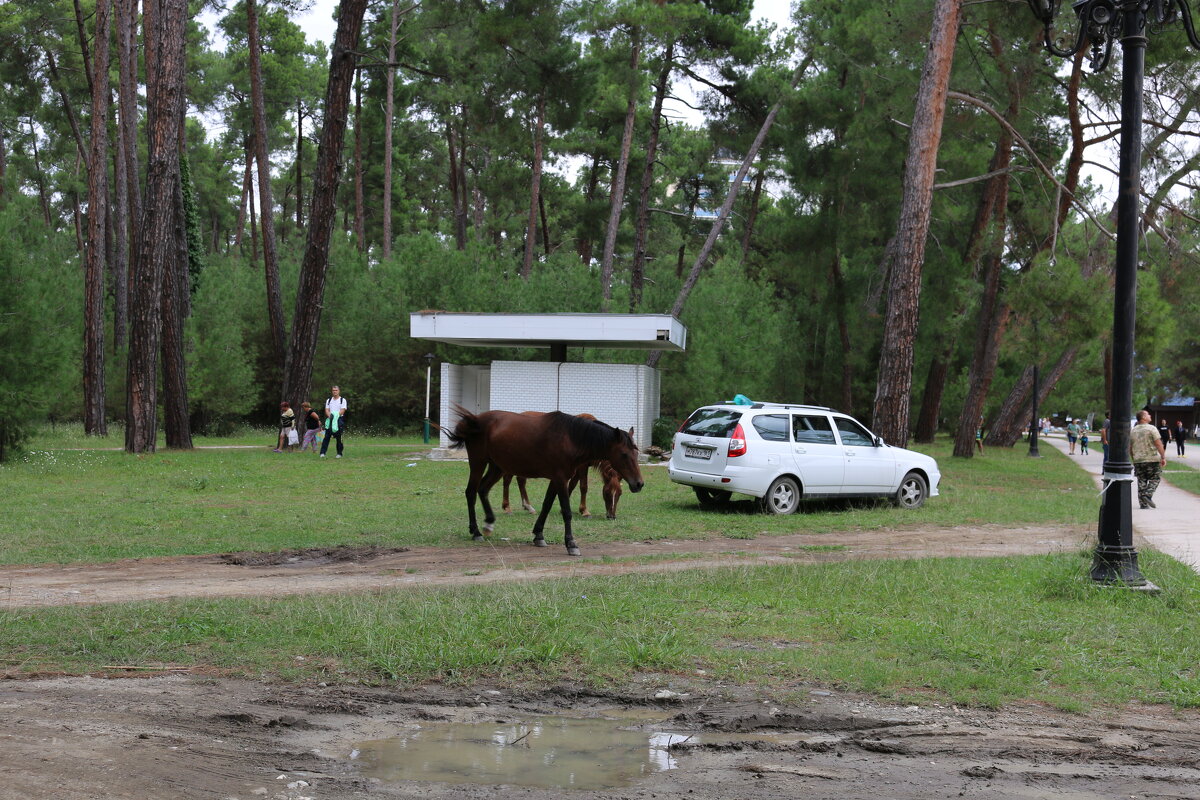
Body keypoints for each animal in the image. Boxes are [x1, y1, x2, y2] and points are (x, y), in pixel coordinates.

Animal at [446, 407, 643, 556]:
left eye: (636, 453)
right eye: (624, 454)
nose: (639, 484)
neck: (571, 438)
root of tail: (475, 419)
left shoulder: (556, 479)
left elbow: (547, 505)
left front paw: (538, 535)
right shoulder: (561, 479)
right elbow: (566, 511)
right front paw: (571, 544)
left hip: (497, 467)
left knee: (483, 489)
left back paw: (488, 523)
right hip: (478, 463)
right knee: (471, 492)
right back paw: (476, 531)